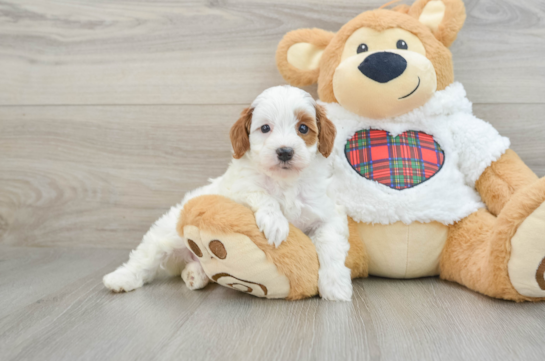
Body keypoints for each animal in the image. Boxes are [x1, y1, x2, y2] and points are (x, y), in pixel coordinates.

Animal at [103, 86, 352, 300]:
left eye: (303, 129)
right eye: (265, 128)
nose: (284, 152)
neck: (285, 182)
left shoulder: (327, 212)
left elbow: (331, 245)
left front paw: (335, 286)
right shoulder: (235, 190)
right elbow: (259, 193)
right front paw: (275, 222)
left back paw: (194, 274)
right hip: (169, 234)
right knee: (147, 256)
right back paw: (121, 278)